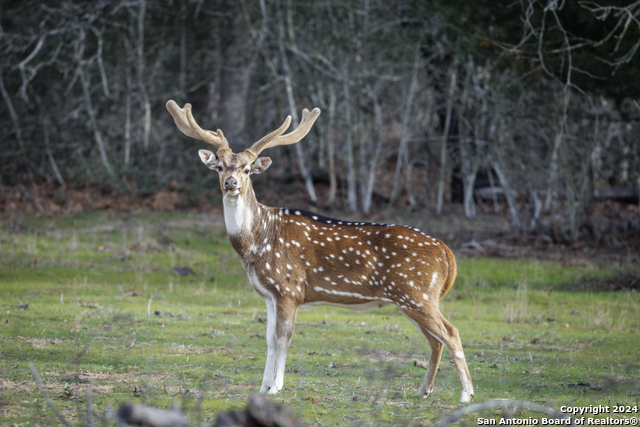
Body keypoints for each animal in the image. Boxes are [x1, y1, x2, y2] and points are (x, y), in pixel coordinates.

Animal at [168, 99, 472, 402]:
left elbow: (283, 338)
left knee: (452, 332)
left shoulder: (289, 288)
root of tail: (447, 253)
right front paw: (263, 386)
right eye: (219, 167)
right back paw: (424, 390)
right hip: (415, 298)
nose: (231, 184)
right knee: (436, 340)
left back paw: (466, 394)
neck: (256, 243)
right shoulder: (268, 294)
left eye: (247, 169)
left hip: (416, 293)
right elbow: (268, 339)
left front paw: (276, 386)